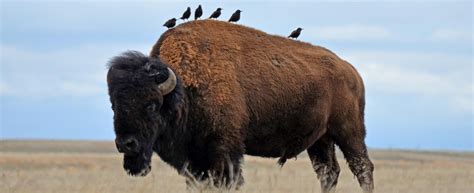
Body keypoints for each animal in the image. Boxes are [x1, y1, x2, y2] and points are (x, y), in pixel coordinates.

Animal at [106, 20, 374, 193]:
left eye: (151, 105)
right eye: (114, 106)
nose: (126, 144)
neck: (183, 90)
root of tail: (351, 71)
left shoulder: (224, 151)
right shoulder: (195, 160)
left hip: (349, 132)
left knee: (362, 168)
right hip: (320, 140)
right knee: (328, 172)